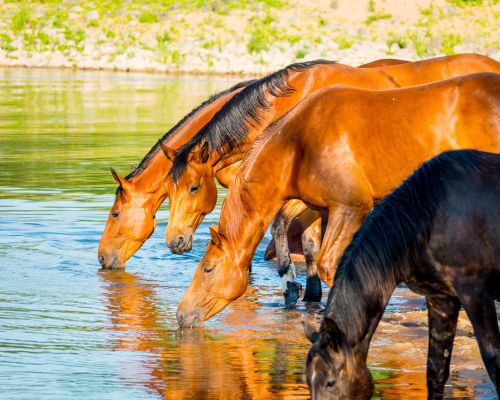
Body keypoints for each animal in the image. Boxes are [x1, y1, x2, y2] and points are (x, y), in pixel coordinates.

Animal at [167, 53, 500, 304]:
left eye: (193, 187)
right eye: (170, 192)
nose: (174, 241)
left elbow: (294, 233)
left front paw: (295, 287)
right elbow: (300, 236)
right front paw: (301, 289)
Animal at [304, 150, 500, 400]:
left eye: (330, 382)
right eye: (308, 381)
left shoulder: (475, 294)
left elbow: (494, 361)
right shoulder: (441, 299)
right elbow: (436, 370)